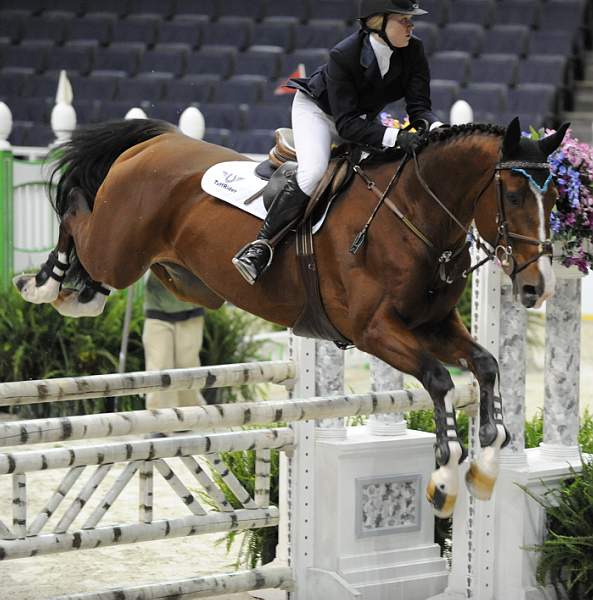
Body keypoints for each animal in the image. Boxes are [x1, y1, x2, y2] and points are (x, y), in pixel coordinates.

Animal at [13, 118, 568, 520]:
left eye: (557, 197)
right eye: (514, 195)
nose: (536, 287)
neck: (412, 215)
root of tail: (157, 141)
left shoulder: (432, 326)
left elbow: (487, 365)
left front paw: (489, 466)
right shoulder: (374, 331)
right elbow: (438, 380)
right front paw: (445, 480)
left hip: (177, 275)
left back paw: (79, 292)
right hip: (119, 250)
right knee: (76, 214)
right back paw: (47, 284)